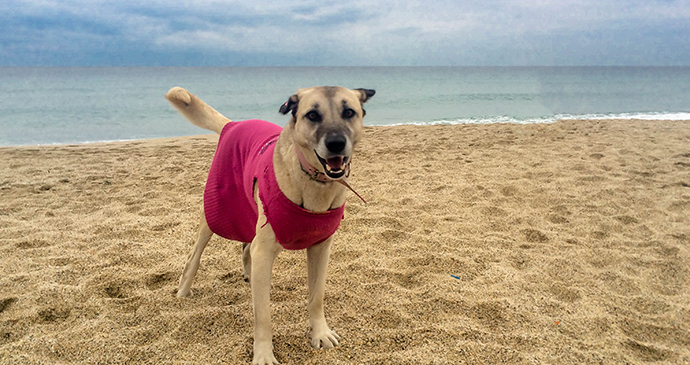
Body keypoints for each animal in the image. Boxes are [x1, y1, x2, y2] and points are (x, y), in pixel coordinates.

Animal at [165, 84, 374, 362]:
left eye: (349, 112)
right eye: (312, 115)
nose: (336, 144)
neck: (312, 179)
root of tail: (233, 124)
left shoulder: (320, 249)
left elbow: (316, 296)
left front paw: (320, 333)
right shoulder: (264, 252)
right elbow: (262, 315)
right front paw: (263, 355)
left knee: (245, 248)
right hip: (215, 213)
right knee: (193, 258)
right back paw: (182, 294)